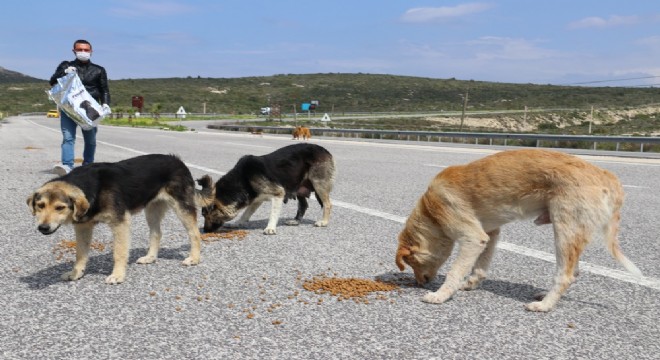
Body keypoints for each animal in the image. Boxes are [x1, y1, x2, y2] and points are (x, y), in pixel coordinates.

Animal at [27, 155, 201, 284]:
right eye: (40, 205)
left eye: (60, 207)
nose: (43, 228)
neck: (93, 189)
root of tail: (178, 160)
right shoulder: (83, 226)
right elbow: (80, 253)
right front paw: (75, 273)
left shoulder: (120, 223)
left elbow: (119, 252)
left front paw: (118, 275)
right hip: (152, 209)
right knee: (156, 233)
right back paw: (150, 257)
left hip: (181, 207)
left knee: (195, 233)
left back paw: (194, 258)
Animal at [197, 142, 336, 235]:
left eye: (205, 215)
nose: (205, 231)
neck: (243, 179)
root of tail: (325, 150)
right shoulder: (256, 200)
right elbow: (246, 213)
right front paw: (238, 223)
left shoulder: (278, 193)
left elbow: (273, 213)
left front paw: (270, 228)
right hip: (299, 186)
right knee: (303, 205)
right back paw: (296, 221)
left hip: (319, 184)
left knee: (327, 204)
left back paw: (323, 222)